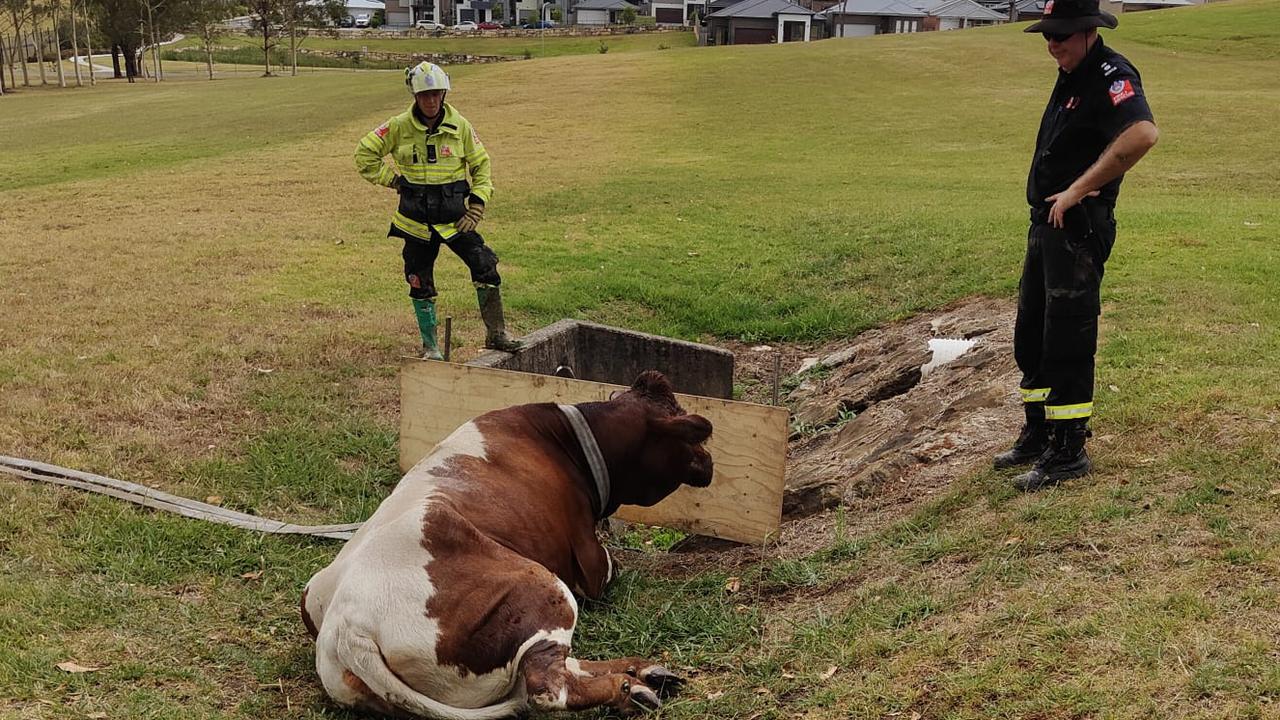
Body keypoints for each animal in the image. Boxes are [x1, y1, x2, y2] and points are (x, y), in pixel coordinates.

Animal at [302, 366, 721, 712]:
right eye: (690, 430)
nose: (710, 462)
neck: (567, 442)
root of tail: (347, 628)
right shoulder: (590, 565)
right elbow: (611, 565)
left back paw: (644, 672)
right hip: (544, 585)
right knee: (547, 687)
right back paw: (630, 689)